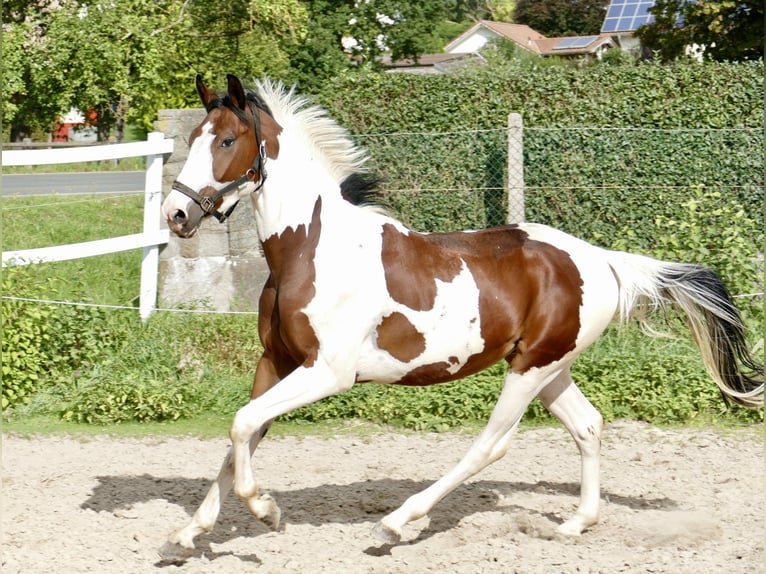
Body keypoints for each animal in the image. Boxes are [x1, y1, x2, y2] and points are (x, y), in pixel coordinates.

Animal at [159, 74, 764, 564]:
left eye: (227, 141)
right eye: (191, 140)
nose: (177, 213)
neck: (311, 248)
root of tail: (603, 260)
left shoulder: (327, 372)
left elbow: (241, 425)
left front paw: (266, 510)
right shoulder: (277, 361)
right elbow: (241, 433)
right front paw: (187, 535)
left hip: (530, 369)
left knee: (492, 443)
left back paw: (397, 523)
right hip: (549, 366)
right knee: (588, 425)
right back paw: (576, 524)